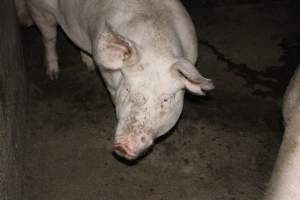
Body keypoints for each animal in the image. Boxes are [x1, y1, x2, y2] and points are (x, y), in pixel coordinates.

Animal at [20, 0, 213, 159]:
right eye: (127, 89)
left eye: (165, 100)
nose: (124, 145)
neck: (157, 47)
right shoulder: (107, 74)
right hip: (40, 10)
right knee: (49, 38)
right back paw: (53, 75)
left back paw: (89, 66)